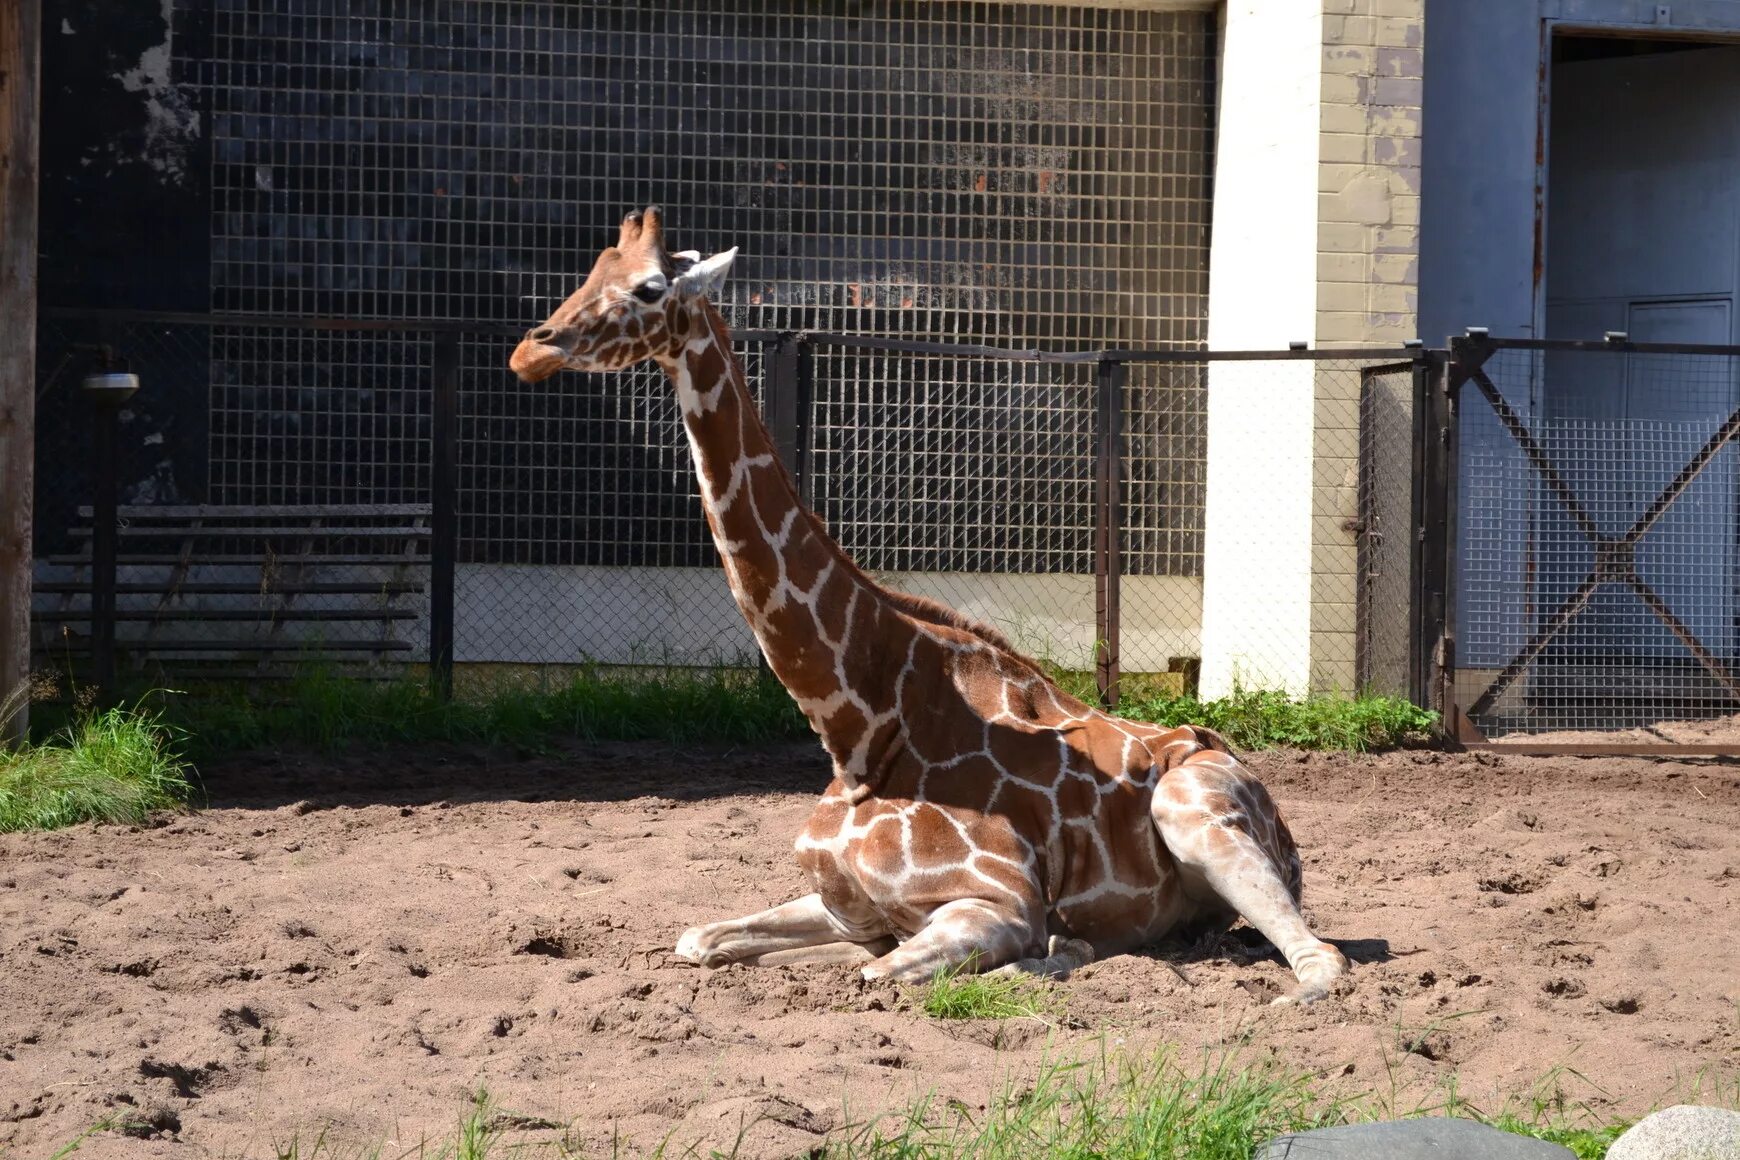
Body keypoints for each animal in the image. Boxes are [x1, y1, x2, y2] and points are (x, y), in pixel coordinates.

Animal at [508, 208, 1350, 1008]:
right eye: (590, 270)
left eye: (650, 288)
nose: (529, 352)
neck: (857, 727)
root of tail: (1270, 806)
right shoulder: (844, 904)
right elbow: (703, 940)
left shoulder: (998, 903)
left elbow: (883, 973)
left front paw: (1043, 951)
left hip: (1195, 811)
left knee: (1321, 960)